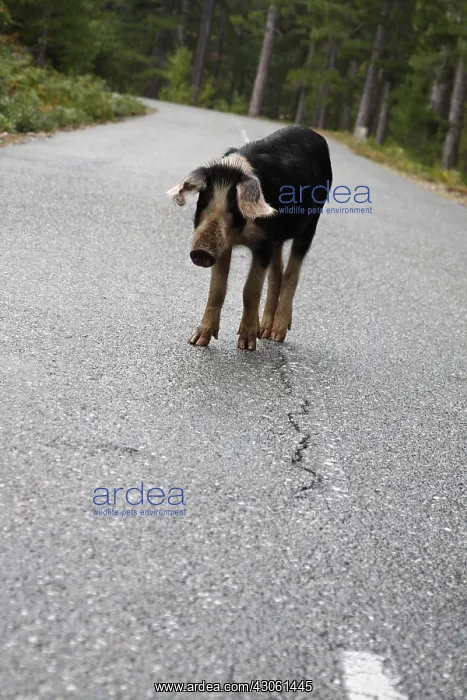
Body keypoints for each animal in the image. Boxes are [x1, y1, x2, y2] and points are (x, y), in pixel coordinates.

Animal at [168, 125, 332, 350]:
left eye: (234, 207)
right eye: (202, 202)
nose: (201, 252)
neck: (240, 234)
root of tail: (315, 134)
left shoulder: (264, 244)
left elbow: (251, 290)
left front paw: (246, 345)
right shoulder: (226, 245)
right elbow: (217, 289)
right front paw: (197, 341)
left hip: (311, 223)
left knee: (292, 273)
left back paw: (277, 335)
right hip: (279, 239)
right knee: (276, 274)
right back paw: (264, 331)